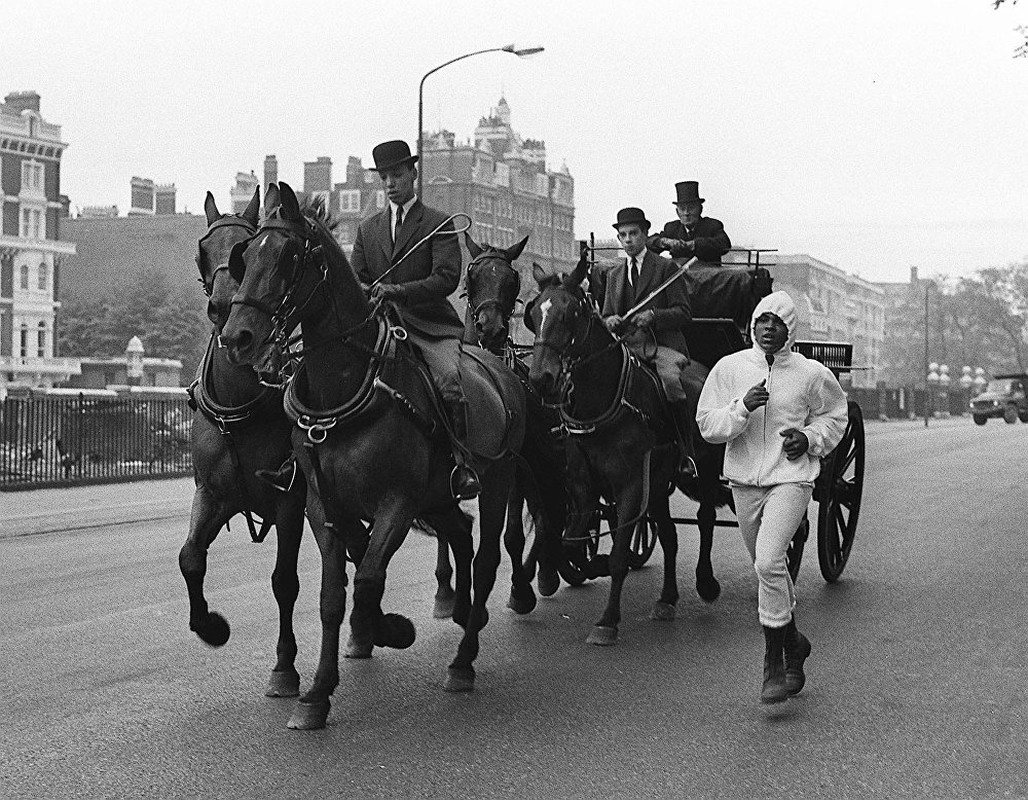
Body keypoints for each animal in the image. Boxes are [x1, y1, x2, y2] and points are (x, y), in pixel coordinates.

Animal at [176, 184, 308, 695]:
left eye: (242, 249)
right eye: (202, 250)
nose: (224, 308)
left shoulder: (291, 500)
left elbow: (285, 582)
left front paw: (285, 666)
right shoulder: (214, 494)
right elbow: (191, 558)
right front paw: (210, 626)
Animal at [215, 182, 522, 728]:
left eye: (289, 256)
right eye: (245, 255)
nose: (237, 337)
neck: (347, 386)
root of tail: (495, 366)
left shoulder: (395, 502)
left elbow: (369, 580)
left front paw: (387, 629)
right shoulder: (323, 505)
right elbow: (333, 595)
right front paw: (317, 692)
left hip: (497, 482)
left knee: (486, 557)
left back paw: (463, 660)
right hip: (437, 496)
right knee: (460, 534)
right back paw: (459, 610)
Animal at [526, 253, 736, 641]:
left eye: (571, 312)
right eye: (533, 313)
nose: (541, 379)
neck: (606, 397)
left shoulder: (630, 486)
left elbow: (621, 554)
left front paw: (607, 620)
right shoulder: (584, 486)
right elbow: (571, 540)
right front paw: (567, 570)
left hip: (704, 468)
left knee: (705, 519)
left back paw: (706, 582)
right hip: (659, 482)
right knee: (669, 535)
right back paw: (667, 598)